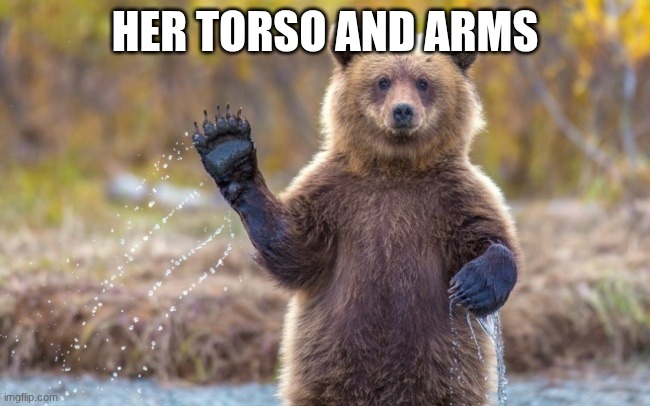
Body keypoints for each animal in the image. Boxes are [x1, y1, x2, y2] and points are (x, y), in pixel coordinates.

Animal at [191, 40, 522, 405]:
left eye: (423, 82)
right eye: (382, 81)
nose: (403, 111)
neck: (395, 169)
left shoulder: (452, 196)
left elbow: (488, 235)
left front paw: (474, 284)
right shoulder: (335, 196)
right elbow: (294, 248)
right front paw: (228, 148)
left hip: (442, 370)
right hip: (328, 366)